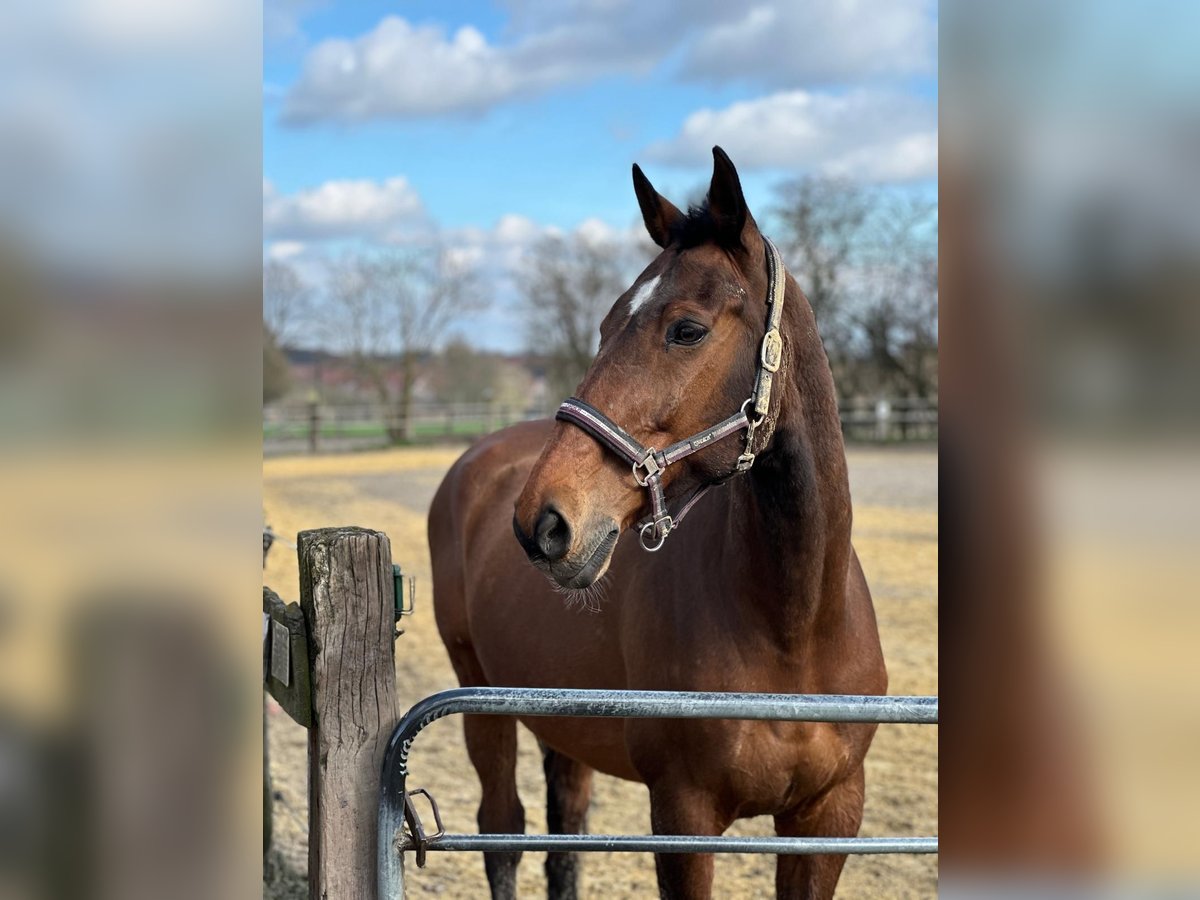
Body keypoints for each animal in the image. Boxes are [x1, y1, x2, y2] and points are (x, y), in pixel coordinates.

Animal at [427, 150, 888, 900]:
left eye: (688, 328)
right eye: (605, 325)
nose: (543, 522)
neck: (794, 627)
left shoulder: (827, 818)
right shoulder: (682, 817)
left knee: (565, 828)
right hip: (478, 697)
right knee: (503, 830)